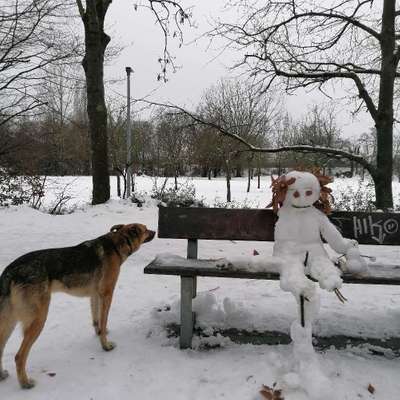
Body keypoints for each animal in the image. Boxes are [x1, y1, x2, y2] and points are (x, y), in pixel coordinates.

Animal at [0, 222, 155, 388]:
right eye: (145, 229)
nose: (155, 231)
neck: (116, 245)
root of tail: (10, 271)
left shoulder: (95, 295)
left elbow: (97, 321)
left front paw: (100, 333)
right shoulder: (107, 295)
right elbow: (104, 319)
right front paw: (105, 346)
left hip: (11, 321)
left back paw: (2, 375)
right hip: (38, 319)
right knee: (19, 356)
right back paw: (25, 383)